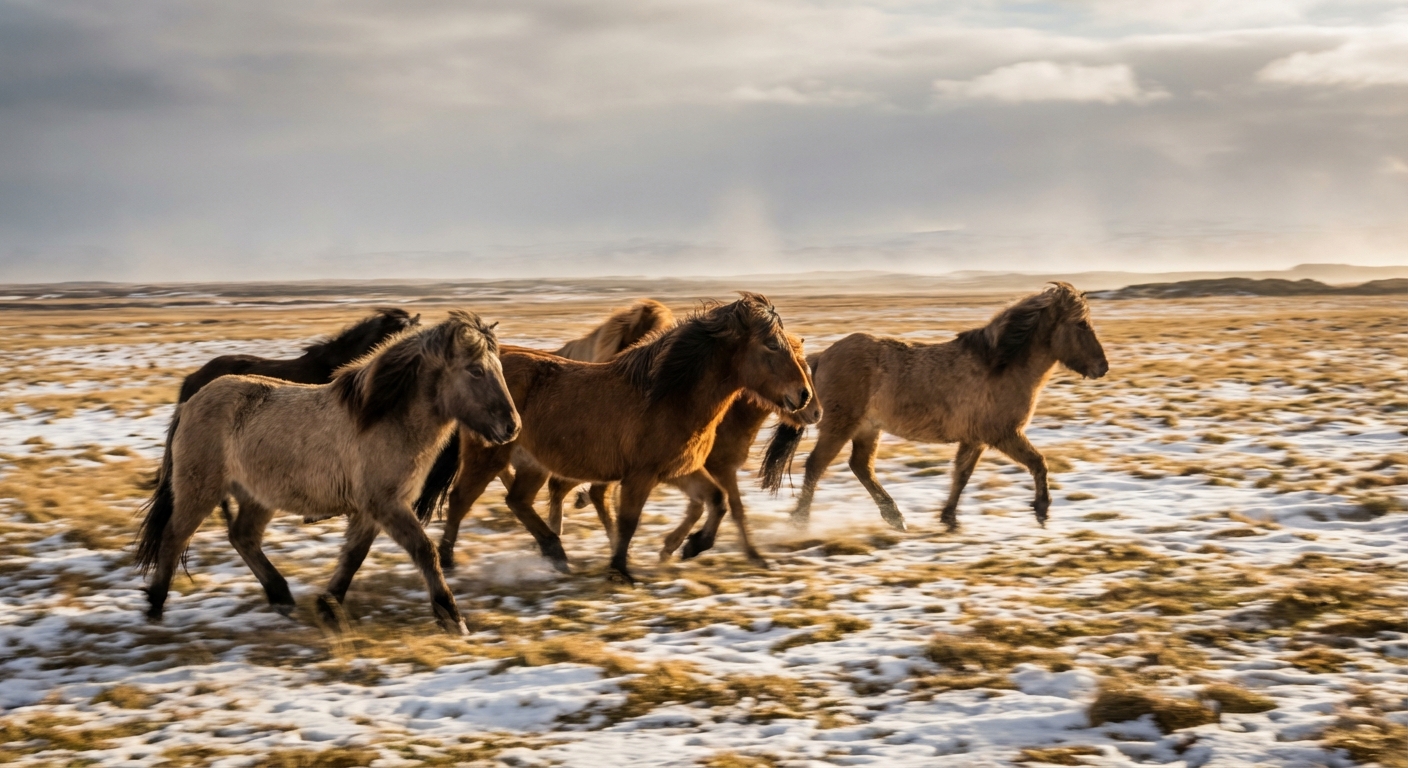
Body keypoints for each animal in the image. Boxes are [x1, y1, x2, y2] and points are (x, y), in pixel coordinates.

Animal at [428, 293, 819, 585]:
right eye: (772, 345)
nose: (804, 398)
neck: (668, 396)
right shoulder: (641, 476)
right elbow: (629, 520)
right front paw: (621, 569)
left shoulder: (680, 471)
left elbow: (717, 500)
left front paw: (691, 546)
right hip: (489, 456)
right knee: (461, 499)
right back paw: (449, 562)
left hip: (532, 464)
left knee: (517, 501)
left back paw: (556, 554)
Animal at [762, 282, 1107, 532]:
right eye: (1080, 324)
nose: (1102, 367)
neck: (999, 366)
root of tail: (822, 356)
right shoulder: (1004, 435)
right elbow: (1039, 463)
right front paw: (1041, 510)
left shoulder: (975, 439)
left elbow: (961, 474)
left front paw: (949, 518)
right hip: (840, 426)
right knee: (816, 465)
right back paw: (801, 521)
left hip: (867, 429)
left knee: (861, 467)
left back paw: (895, 518)